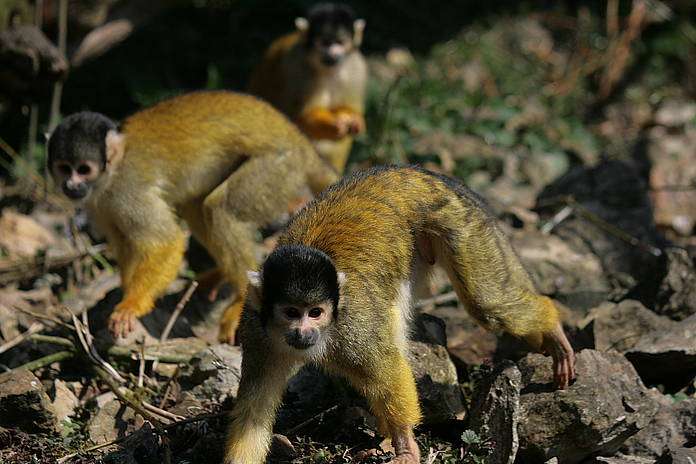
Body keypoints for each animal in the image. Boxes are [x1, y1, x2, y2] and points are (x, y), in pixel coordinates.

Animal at [45, 91, 338, 344]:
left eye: (84, 169)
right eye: (64, 168)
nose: (71, 186)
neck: (109, 176)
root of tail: (298, 138)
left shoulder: (127, 191)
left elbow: (165, 241)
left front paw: (132, 304)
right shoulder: (101, 205)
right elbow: (125, 244)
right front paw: (126, 291)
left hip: (278, 165)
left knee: (218, 208)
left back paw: (239, 300)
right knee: (196, 208)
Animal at [224, 165, 576, 462]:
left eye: (315, 313)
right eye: (291, 312)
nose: (303, 332)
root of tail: (415, 172)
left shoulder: (353, 328)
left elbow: (386, 370)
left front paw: (406, 447)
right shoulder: (256, 333)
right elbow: (254, 413)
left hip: (462, 224)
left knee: (487, 304)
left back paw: (552, 327)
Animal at [247, 3, 368, 174]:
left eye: (339, 43)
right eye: (325, 43)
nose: (332, 54)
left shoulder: (356, 66)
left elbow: (350, 109)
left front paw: (355, 120)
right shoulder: (298, 68)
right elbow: (300, 119)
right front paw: (334, 126)